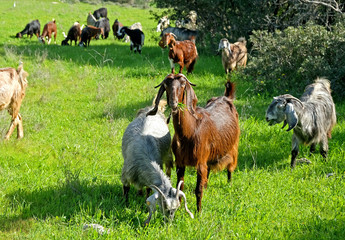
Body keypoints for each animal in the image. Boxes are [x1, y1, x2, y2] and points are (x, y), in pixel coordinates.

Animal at [147, 73, 239, 212]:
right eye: (166, 85)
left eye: (183, 84)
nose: (173, 103)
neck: (191, 131)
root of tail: (226, 97)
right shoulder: (180, 163)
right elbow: (180, 187)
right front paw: (179, 207)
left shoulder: (200, 162)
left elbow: (198, 190)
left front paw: (199, 212)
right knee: (209, 169)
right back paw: (207, 185)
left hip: (233, 146)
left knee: (230, 166)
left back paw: (229, 183)